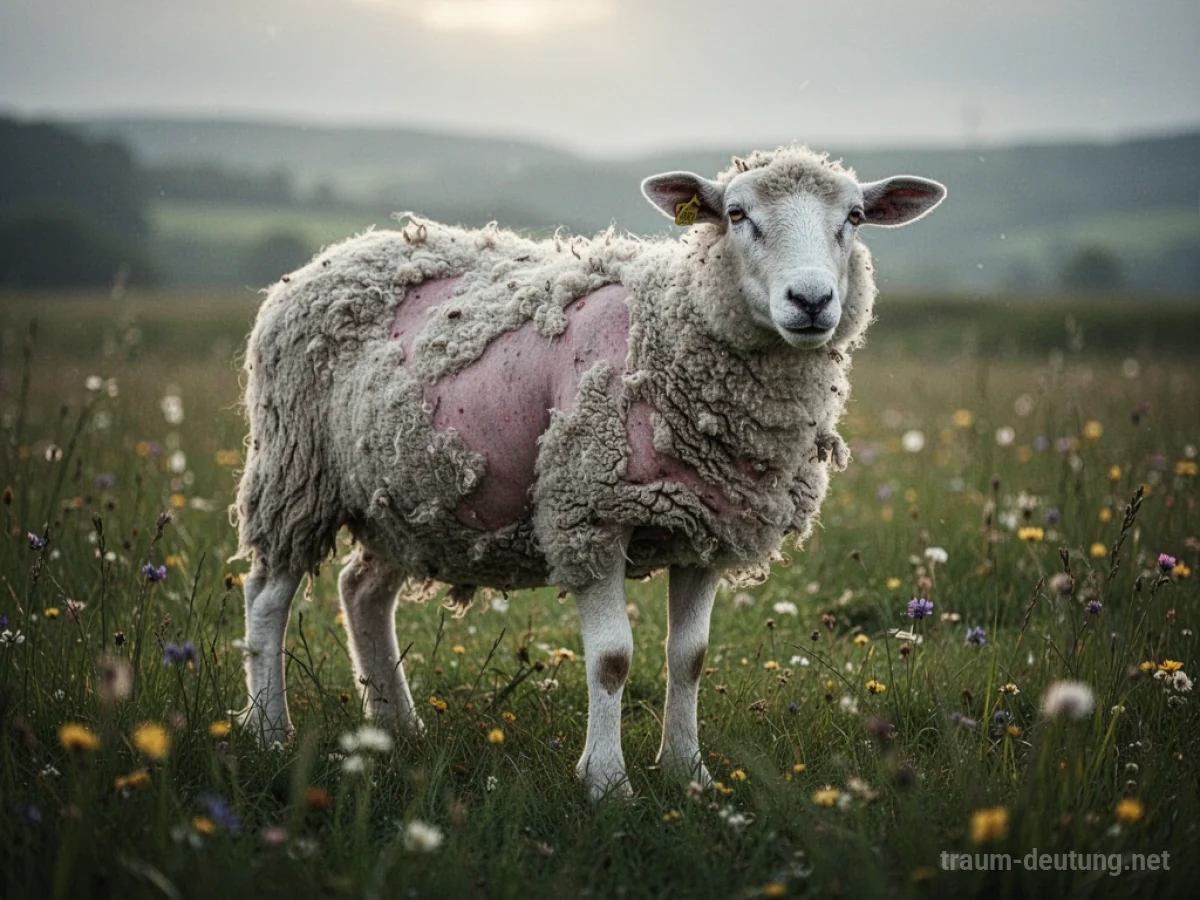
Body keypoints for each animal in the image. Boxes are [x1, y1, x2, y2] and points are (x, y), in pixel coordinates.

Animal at [234, 144, 945, 797]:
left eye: (854, 217)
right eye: (738, 214)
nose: (811, 299)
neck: (670, 330)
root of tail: (336, 254)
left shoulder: (709, 527)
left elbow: (689, 659)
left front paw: (689, 774)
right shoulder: (590, 512)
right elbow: (611, 660)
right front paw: (607, 784)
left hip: (403, 496)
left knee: (362, 591)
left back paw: (397, 727)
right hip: (295, 472)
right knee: (268, 597)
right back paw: (269, 730)